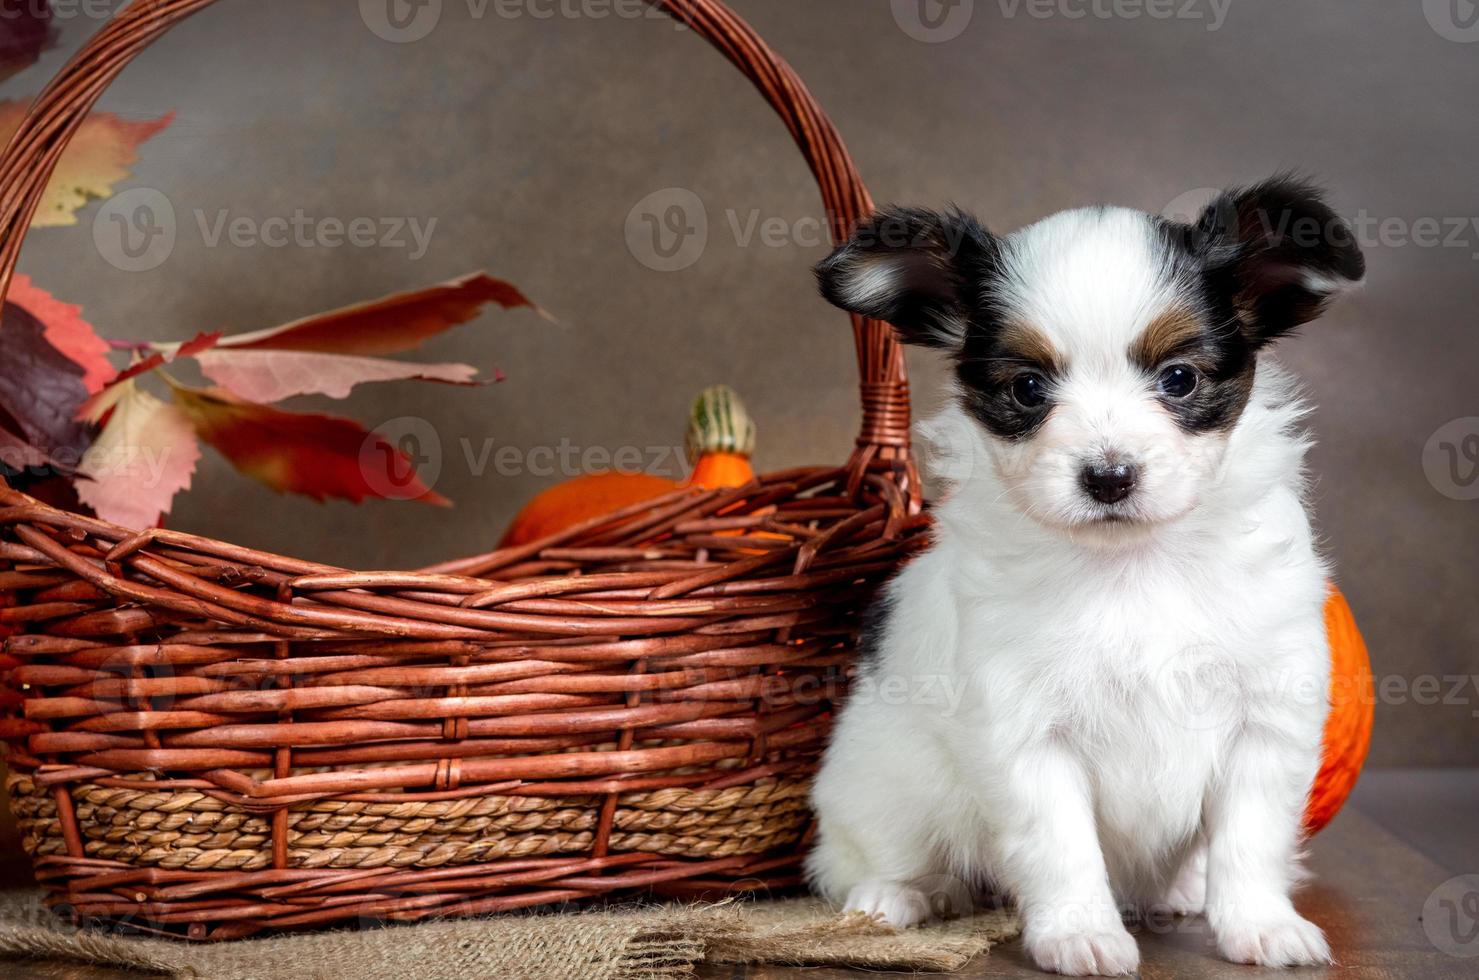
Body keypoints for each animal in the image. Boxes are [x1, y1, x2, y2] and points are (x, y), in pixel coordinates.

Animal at [810, 178, 1360, 980]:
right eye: (1028, 388)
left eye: (1178, 378)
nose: (1108, 476)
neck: (1132, 564)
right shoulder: (1026, 734)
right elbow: (1061, 846)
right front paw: (1079, 934)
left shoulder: (1266, 718)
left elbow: (1250, 839)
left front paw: (1260, 924)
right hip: (880, 782)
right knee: (863, 855)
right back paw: (899, 896)